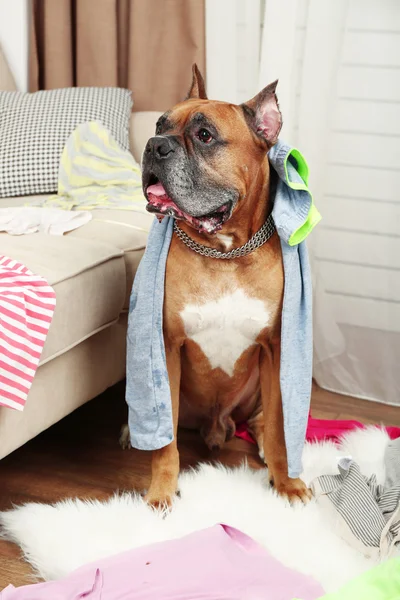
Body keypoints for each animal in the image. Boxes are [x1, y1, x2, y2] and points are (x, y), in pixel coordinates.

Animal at [120, 64, 310, 506]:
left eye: (205, 135)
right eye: (159, 125)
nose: (155, 146)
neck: (225, 253)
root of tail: (218, 423)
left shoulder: (276, 349)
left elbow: (280, 428)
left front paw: (287, 483)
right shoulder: (166, 347)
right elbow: (165, 442)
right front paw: (161, 492)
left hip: (258, 386)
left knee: (260, 421)